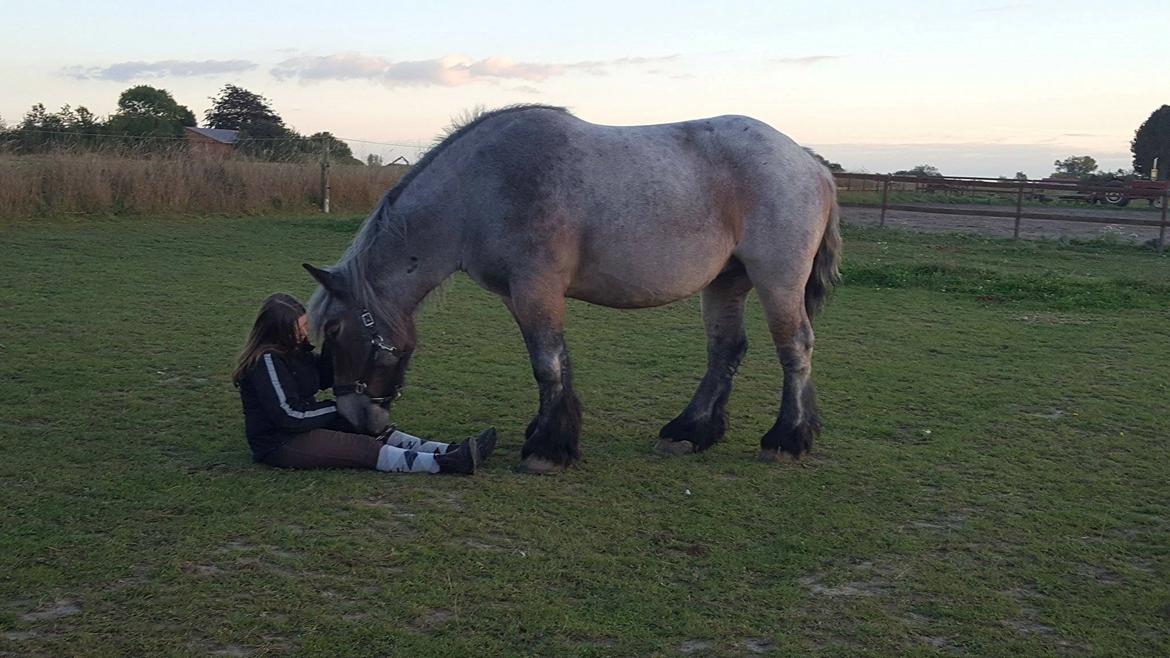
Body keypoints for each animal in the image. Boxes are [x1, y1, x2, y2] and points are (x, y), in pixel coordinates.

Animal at [304, 103, 842, 470]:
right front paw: (549, 434)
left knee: (795, 348)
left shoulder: (536, 289)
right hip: (726, 283)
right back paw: (689, 432)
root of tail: (810, 162)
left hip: (777, 282)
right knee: (725, 350)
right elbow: (552, 364)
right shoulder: (518, 296)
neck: (482, 186)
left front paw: (546, 449)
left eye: (333, 330)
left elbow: (548, 364)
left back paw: (785, 439)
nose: (353, 418)